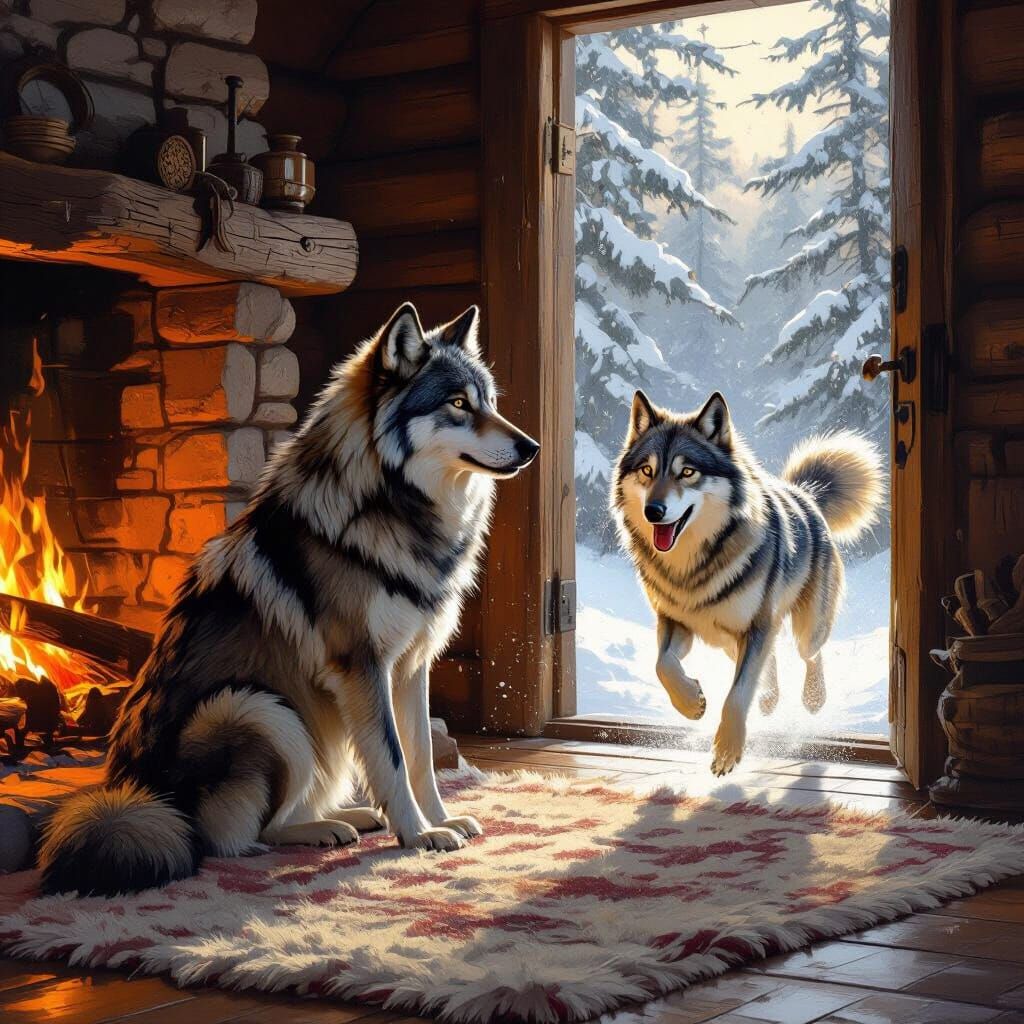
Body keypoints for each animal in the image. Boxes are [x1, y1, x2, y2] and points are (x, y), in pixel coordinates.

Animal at [39, 303, 539, 895]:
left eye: (488, 401)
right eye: (458, 404)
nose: (531, 447)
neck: (392, 507)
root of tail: (138, 798)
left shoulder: (412, 666)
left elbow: (420, 758)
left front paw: (440, 822)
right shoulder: (362, 666)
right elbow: (392, 758)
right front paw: (417, 835)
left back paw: (348, 817)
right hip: (257, 707)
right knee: (240, 838)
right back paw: (324, 829)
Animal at [612, 389, 883, 776]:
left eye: (687, 472)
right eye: (647, 471)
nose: (654, 511)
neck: (694, 568)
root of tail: (806, 494)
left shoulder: (756, 626)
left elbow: (737, 694)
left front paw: (727, 751)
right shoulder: (676, 622)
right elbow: (663, 666)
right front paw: (692, 703)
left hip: (805, 629)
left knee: (810, 654)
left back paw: (813, 699)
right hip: (731, 640)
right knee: (769, 664)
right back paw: (769, 701)